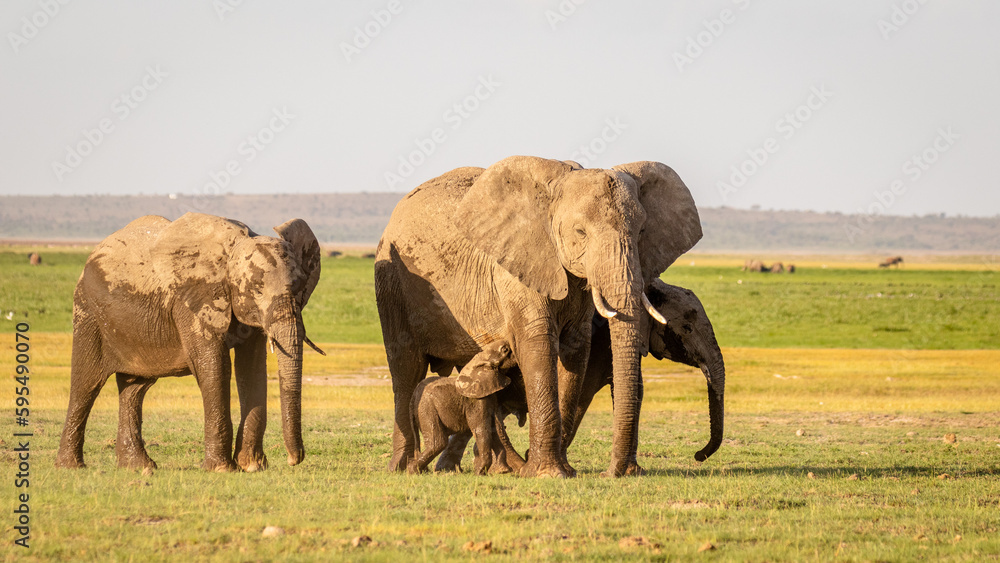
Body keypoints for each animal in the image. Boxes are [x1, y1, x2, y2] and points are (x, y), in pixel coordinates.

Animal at [55, 212, 323, 472]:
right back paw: (71, 467)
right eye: (256, 289)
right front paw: (222, 469)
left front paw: (252, 467)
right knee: (86, 384)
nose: (292, 460)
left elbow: (252, 369)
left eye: (300, 287)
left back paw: (139, 467)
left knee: (135, 388)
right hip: (89, 312)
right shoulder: (192, 300)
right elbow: (214, 366)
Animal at [408, 340, 515, 475]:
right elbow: (481, 430)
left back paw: (420, 471)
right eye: (504, 350)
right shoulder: (476, 401)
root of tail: (413, 396)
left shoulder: (491, 398)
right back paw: (412, 471)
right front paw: (479, 472)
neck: (477, 365)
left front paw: (503, 471)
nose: (506, 344)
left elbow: (495, 428)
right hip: (426, 408)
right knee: (438, 442)